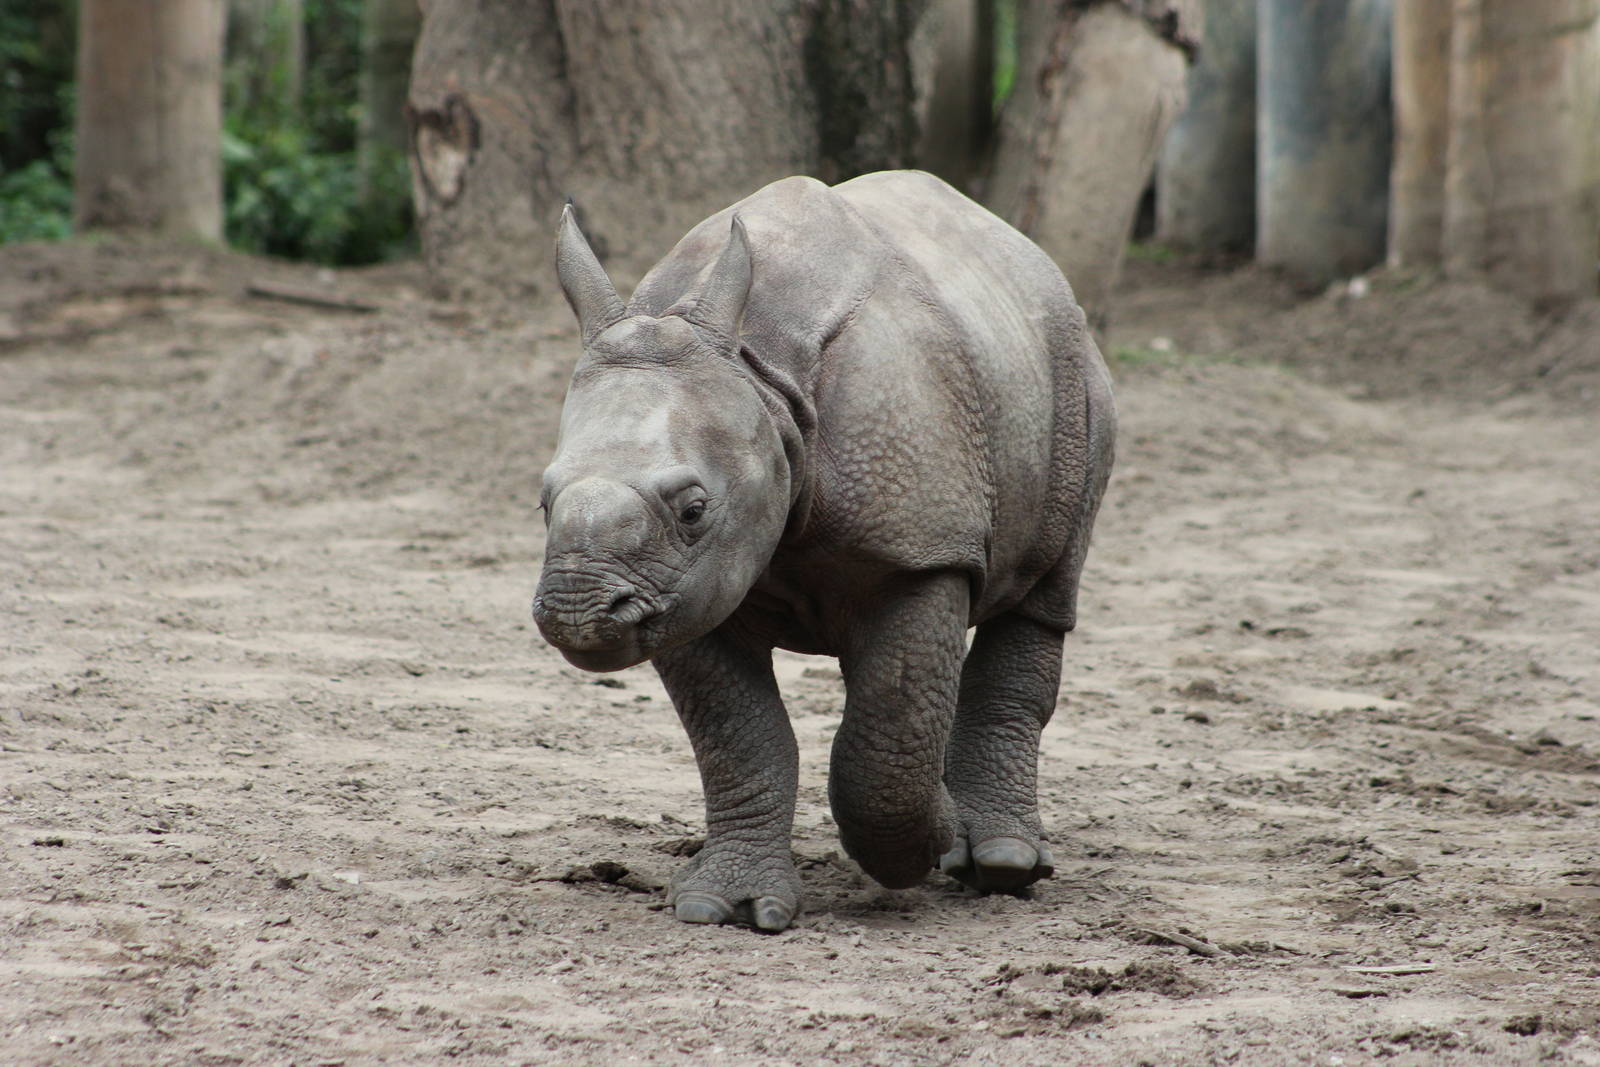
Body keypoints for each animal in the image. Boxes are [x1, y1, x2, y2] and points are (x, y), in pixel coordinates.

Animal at [533, 171, 1115, 932]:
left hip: (1073, 375)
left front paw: (932, 839)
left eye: (693, 509)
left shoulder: (919, 549)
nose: (579, 614)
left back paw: (1003, 865)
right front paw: (726, 906)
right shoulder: (685, 590)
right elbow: (739, 738)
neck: (759, 379)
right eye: (543, 503)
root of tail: (1028, 253)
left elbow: (885, 744)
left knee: (1044, 593)